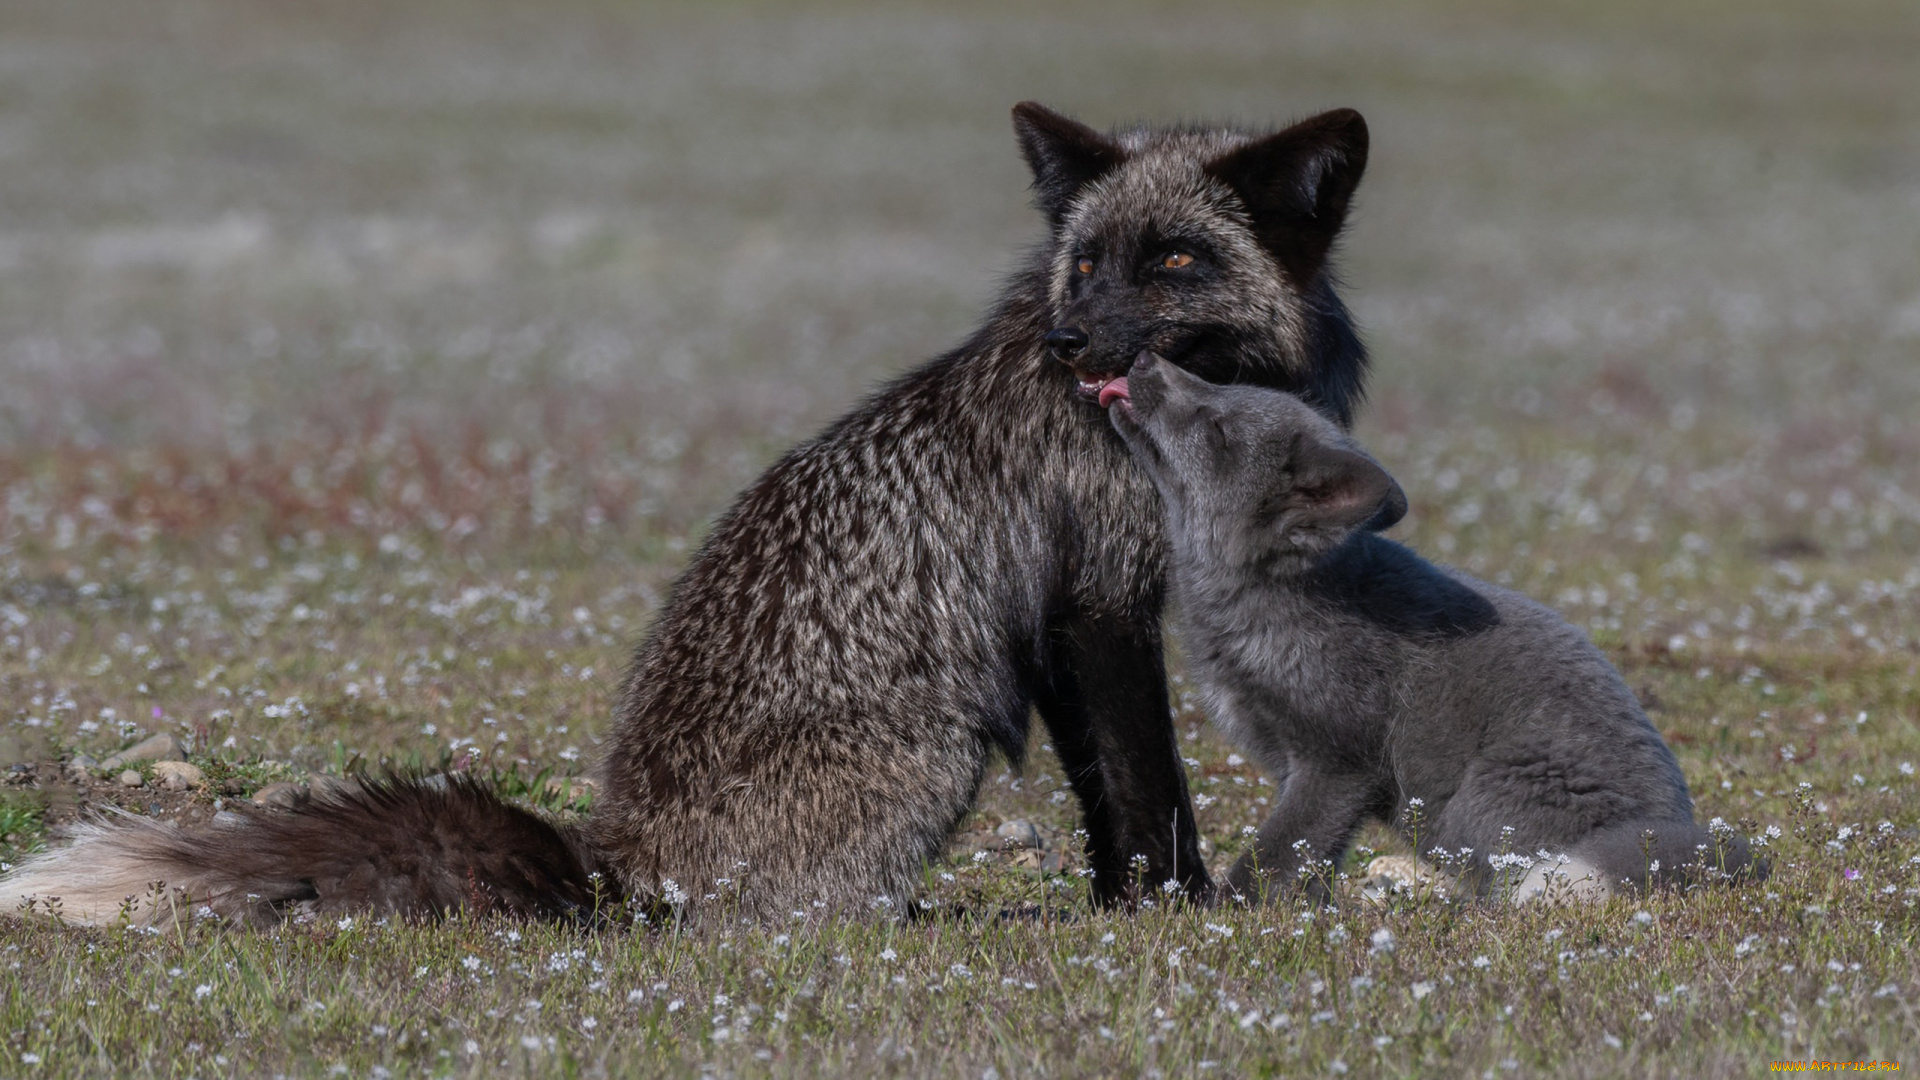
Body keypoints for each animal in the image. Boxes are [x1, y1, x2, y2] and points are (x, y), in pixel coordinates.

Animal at [0, 102, 1382, 926]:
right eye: (1086, 262)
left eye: (1175, 263)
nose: (1070, 341)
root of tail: (619, 859)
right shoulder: (1099, 600)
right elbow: (1148, 792)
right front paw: (1175, 910)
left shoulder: (1057, 622)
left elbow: (1107, 795)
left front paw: (1125, 909)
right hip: (933, 748)